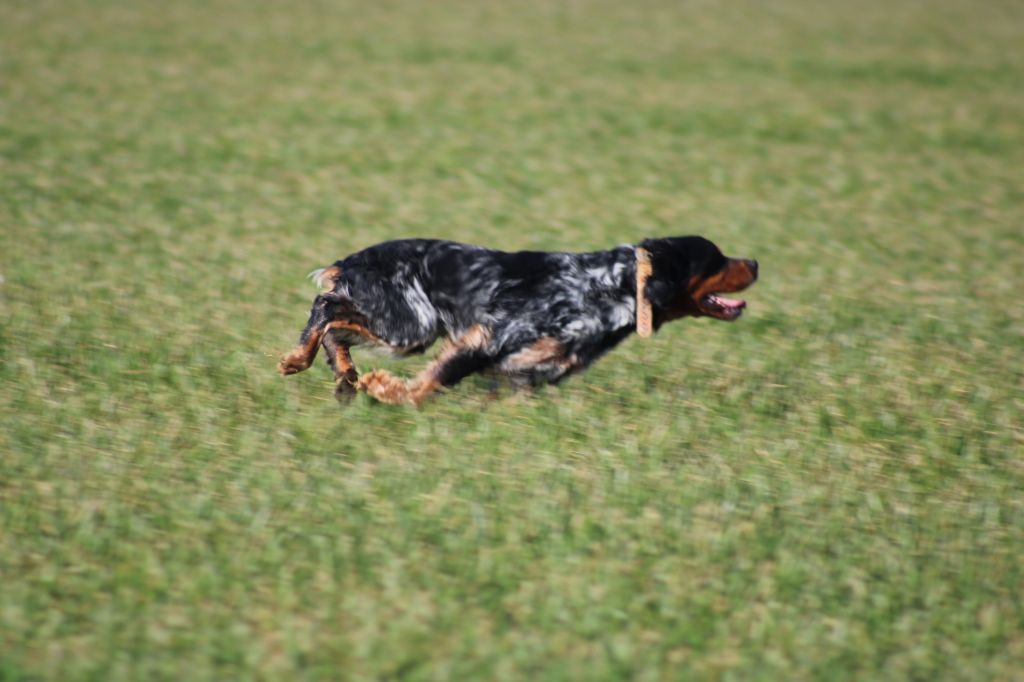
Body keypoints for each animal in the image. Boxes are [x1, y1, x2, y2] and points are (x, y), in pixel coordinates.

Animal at [276, 236, 757, 403]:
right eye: (716, 257)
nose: (754, 262)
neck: (608, 285)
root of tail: (351, 260)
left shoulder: (528, 372)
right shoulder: (490, 339)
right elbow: (431, 384)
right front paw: (389, 392)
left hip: (405, 326)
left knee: (337, 326)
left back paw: (343, 375)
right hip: (410, 326)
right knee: (326, 307)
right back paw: (300, 359)